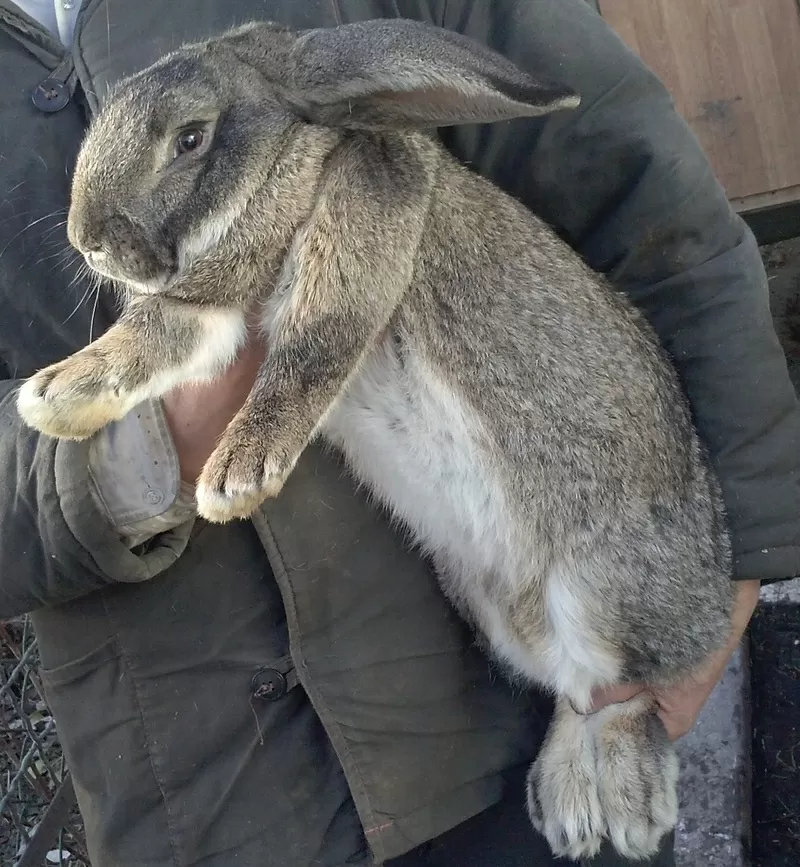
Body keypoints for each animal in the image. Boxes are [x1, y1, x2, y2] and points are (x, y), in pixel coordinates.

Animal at [15, 17, 736, 864]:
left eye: (191, 137)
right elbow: (161, 333)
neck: (280, 164)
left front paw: (235, 474)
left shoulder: (359, 210)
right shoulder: (214, 299)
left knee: (629, 691)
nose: (87, 239)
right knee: (581, 693)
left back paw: (624, 801)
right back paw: (569, 803)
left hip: (609, 591)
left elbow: (302, 345)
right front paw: (59, 398)